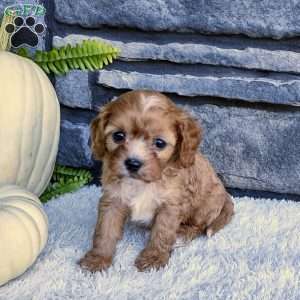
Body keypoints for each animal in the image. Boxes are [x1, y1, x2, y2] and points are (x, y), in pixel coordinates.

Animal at [79, 89, 234, 272]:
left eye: (159, 143)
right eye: (118, 136)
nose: (133, 163)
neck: (142, 182)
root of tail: (226, 195)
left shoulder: (170, 205)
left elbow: (162, 232)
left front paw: (153, 258)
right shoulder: (113, 198)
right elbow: (105, 230)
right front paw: (98, 258)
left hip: (205, 206)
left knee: (198, 226)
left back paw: (182, 234)